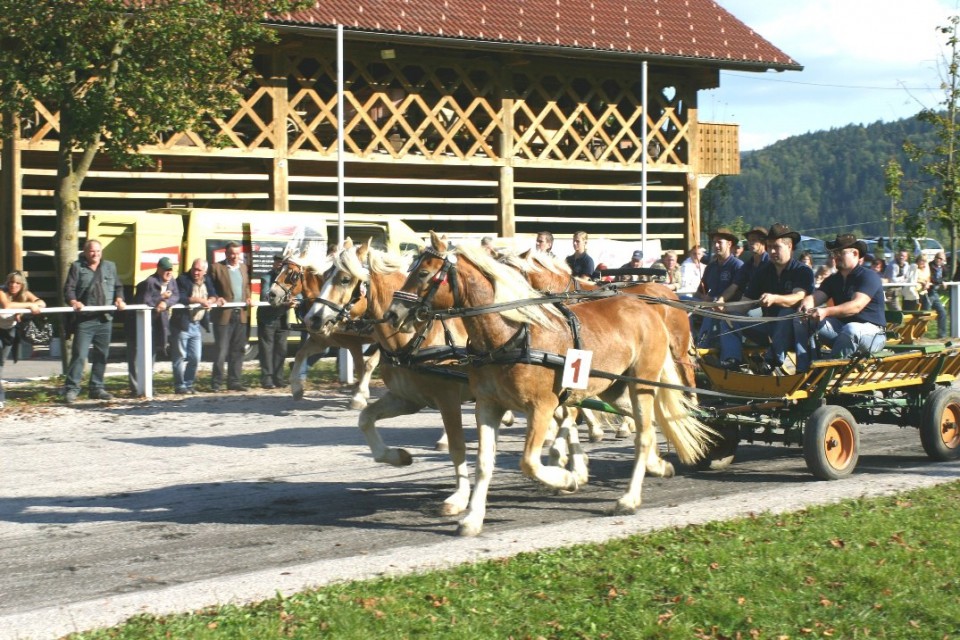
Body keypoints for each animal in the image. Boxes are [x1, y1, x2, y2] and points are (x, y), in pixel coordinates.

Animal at [268, 252, 380, 408]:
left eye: (292, 274)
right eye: (279, 269)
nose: (271, 295)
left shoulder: (354, 344)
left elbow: (363, 366)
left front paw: (359, 396)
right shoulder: (321, 342)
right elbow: (300, 354)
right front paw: (297, 388)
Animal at [312, 240, 532, 516]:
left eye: (344, 279)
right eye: (323, 276)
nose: (313, 318)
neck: (413, 339)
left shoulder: (448, 398)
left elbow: (457, 446)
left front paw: (459, 497)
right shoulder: (407, 398)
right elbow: (365, 419)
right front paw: (397, 456)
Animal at [384, 232, 712, 536]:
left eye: (423, 273)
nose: (392, 313)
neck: (512, 335)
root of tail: (648, 307)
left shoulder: (542, 407)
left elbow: (530, 461)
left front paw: (567, 477)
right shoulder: (488, 406)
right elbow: (484, 463)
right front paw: (472, 518)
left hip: (645, 381)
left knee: (644, 434)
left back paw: (629, 498)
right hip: (616, 389)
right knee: (651, 423)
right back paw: (659, 465)